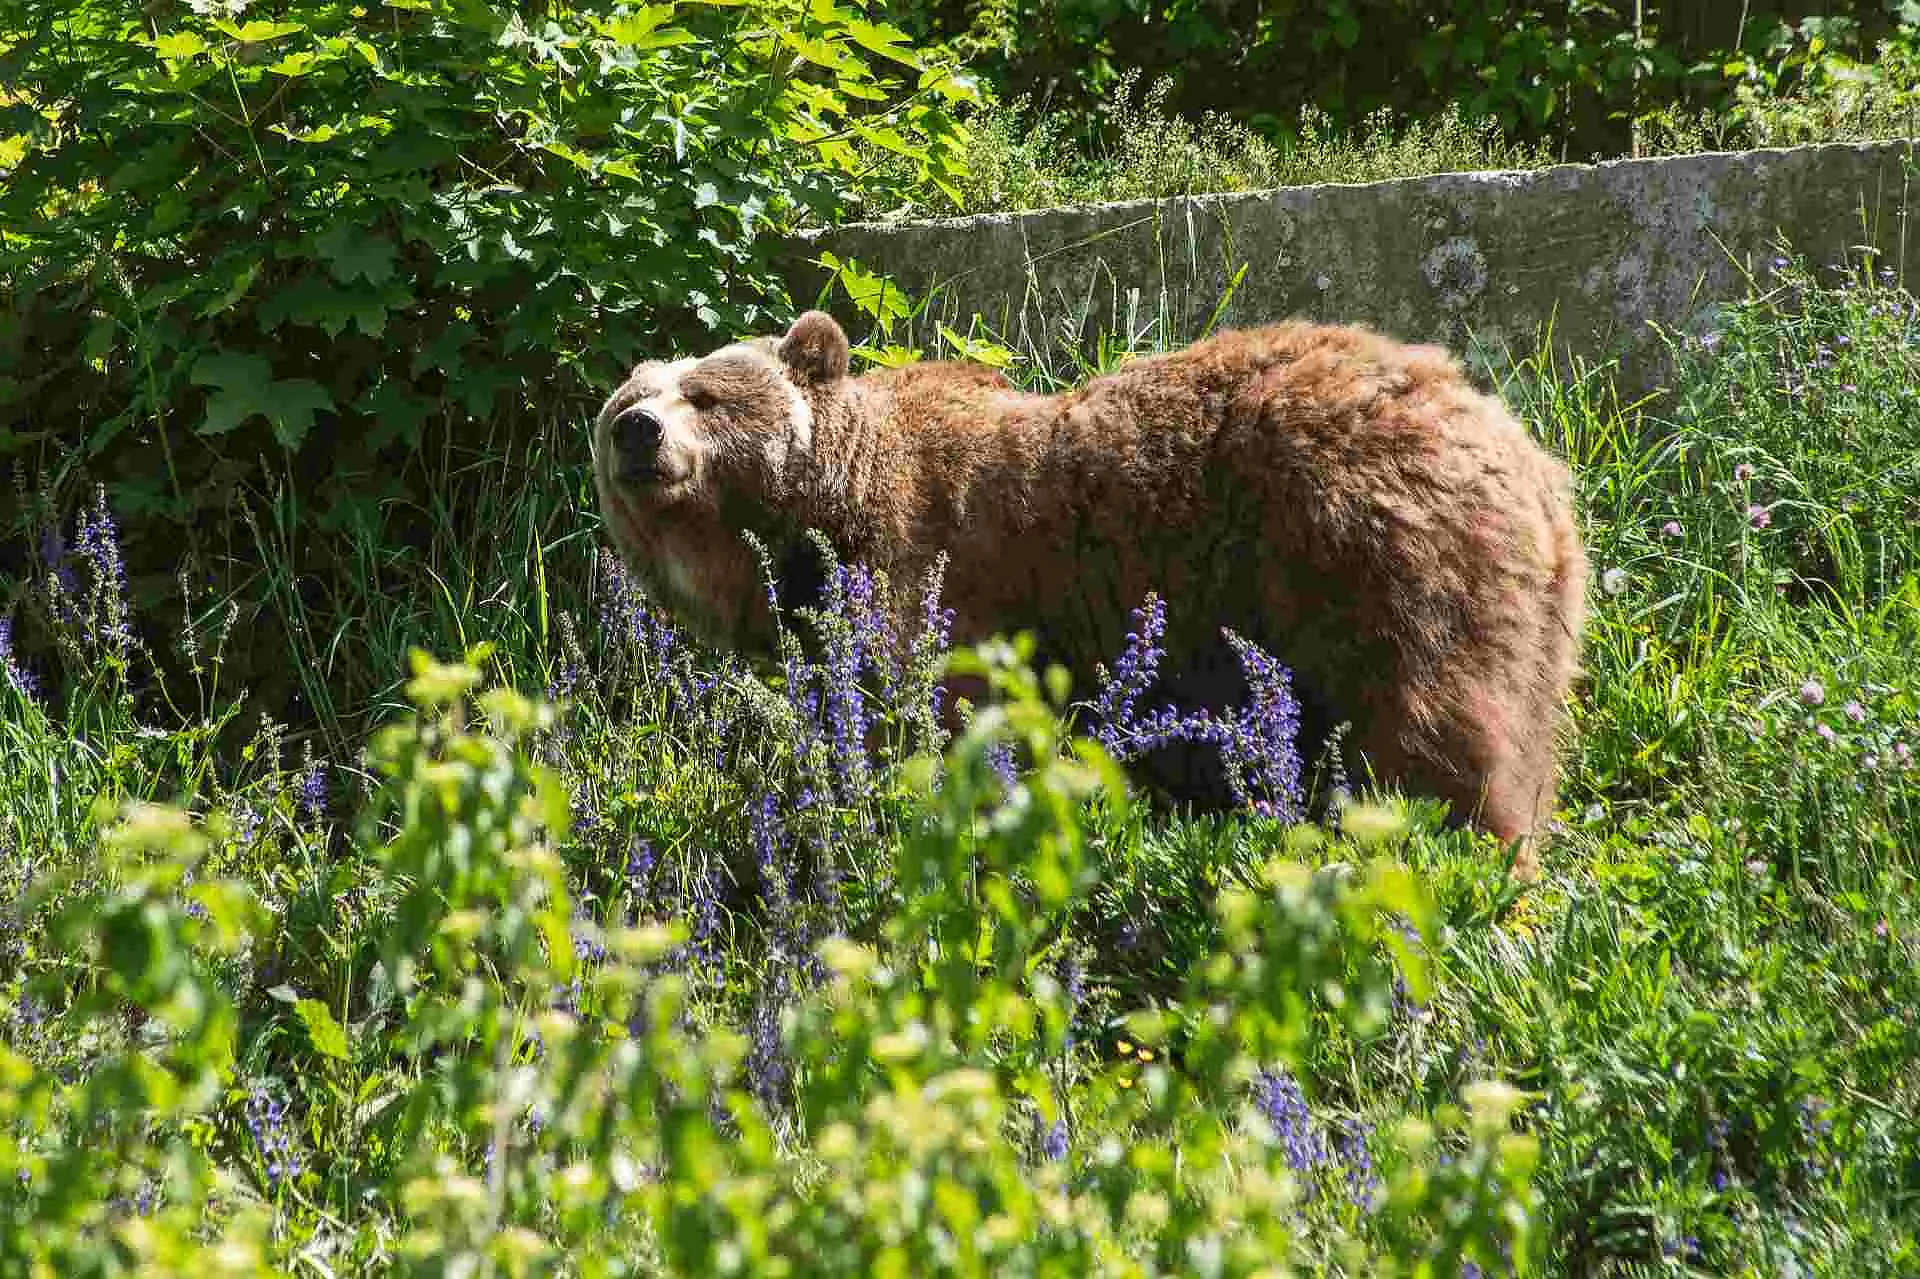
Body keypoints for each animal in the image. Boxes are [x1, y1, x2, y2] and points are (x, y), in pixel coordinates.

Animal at [592, 310, 1587, 867]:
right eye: (623, 404)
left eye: (707, 395)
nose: (639, 431)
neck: (815, 523)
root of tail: (1523, 450)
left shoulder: (940, 578)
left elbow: (945, 723)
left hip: (1378, 560)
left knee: (1434, 734)